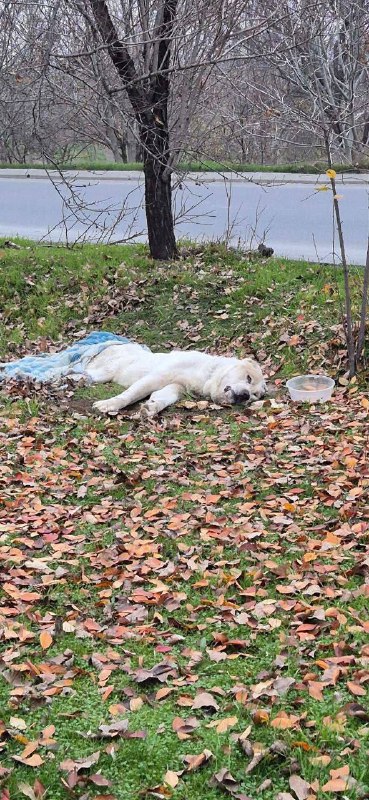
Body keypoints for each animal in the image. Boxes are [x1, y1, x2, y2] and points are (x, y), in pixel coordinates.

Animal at [90, 342, 268, 418]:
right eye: (249, 378)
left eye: (255, 396)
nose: (245, 395)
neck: (207, 375)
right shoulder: (156, 377)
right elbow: (129, 395)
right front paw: (109, 404)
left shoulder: (176, 387)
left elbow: (164, 397)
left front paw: (151, 407)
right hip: (106, 371)